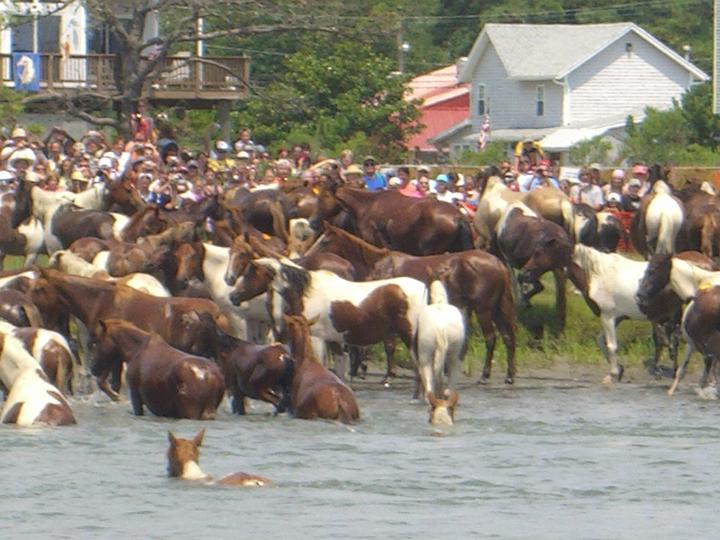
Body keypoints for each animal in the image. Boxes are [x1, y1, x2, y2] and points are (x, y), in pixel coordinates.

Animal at [92, 318, 225, 420]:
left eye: (98, 341)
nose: (93, 368)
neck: (133, 351)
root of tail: (211, 378)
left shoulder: (135, 395)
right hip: (209, 411)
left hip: (190, 411)